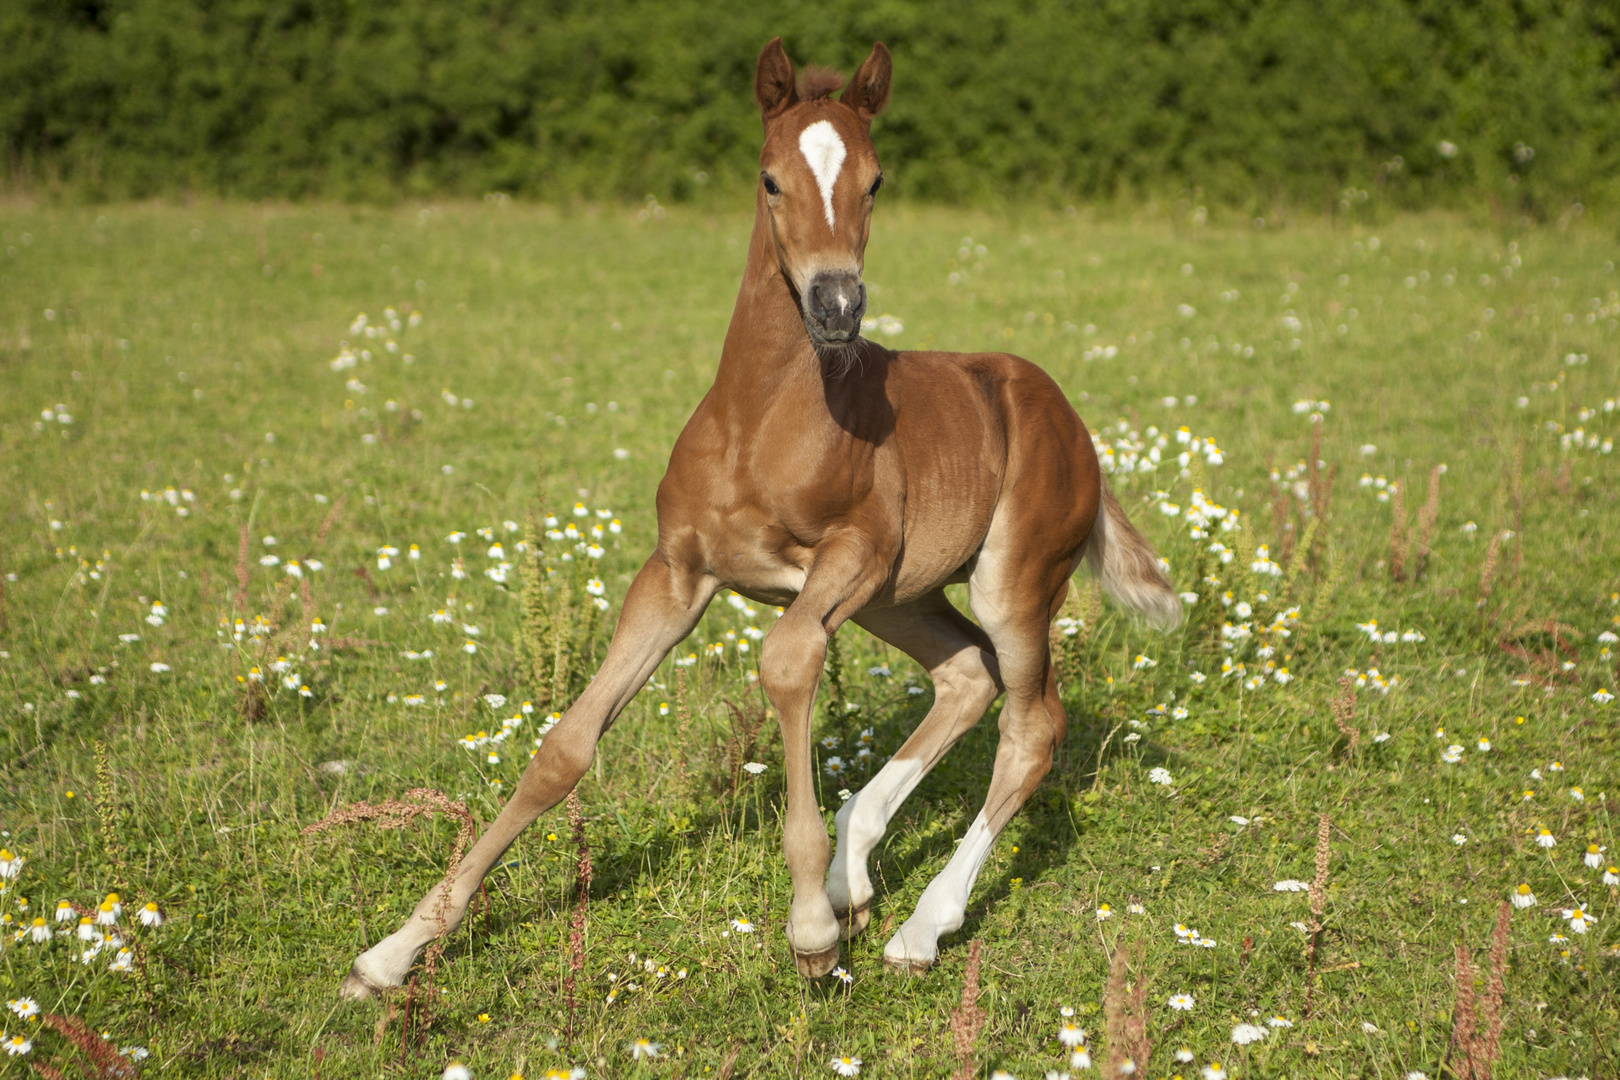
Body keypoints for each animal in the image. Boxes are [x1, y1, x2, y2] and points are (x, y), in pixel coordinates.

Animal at [341, 35, 1179, 997]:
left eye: (876, 181)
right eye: (770, 178)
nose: (837, 306)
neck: (760, 420)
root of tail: (1071, 419)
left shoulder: (851, 553)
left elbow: (785, 662)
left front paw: (810, 926)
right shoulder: (676, 572)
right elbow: (566, 749)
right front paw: (395, 950)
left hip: (1010, 579)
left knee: (1031, 724)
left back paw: (918, 926)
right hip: (900, 598)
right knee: (969, 672)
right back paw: (859, 873)